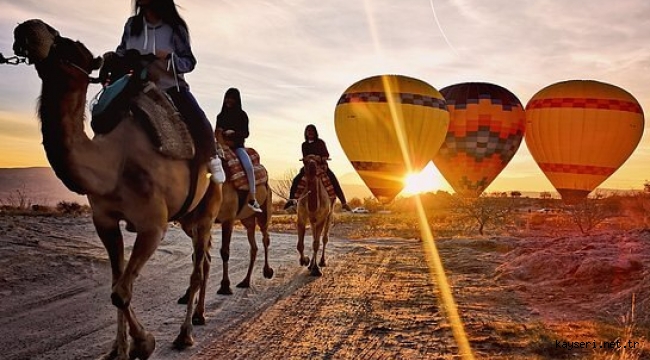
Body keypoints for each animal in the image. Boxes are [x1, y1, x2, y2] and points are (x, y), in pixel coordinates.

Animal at [11, 20, 220, 360]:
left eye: (72, 46)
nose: (28, 28)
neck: (112, 165)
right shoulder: (105, 220)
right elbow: (116, 282)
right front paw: (118, 349)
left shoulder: (153, 225)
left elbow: (121, 292)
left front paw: (144, 343)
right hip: (187, 218)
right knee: (202, 260)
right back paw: (198, 316)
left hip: (206, 212)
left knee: (198, 267)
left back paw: (185, 333)